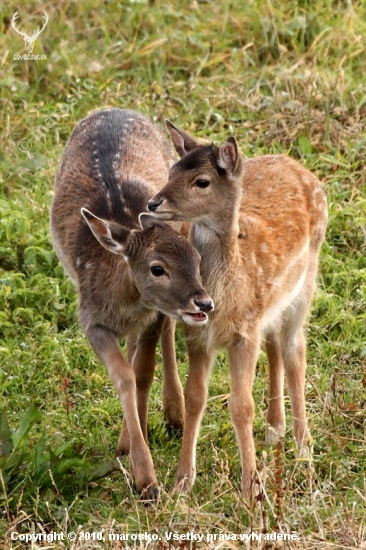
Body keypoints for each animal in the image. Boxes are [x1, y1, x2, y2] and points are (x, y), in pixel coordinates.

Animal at [50, 110, 213, 502]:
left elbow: (142, 371)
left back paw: (174, 414)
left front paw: (142, 465)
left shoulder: (152, 316)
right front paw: (142, 474)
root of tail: (111, 109)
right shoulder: (91, 321)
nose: (202, 300)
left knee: (163, 337)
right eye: (157, 268)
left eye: (196, 258)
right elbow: (123, 375)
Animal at [147, 123, 328, 498]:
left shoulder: (244, 333)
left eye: (201, 181)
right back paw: (275, 430)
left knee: (295, 350)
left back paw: (304, 450)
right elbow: (195, 398)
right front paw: (182, 483)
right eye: (171, 171)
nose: (154, 202)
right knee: (275, 345)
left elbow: (241, 405)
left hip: (305, 284)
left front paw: (253, 489)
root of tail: (295, 163)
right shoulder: (198, 336)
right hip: (271, 308)